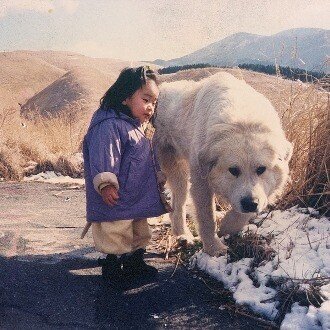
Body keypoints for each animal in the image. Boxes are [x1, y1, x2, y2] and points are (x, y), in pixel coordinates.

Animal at [155, 72, 292, 256]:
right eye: (233, 170)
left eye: (261, 169)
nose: (250, 203)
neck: (243, 121)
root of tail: (163, 89)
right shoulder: (201, 182)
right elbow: (207, 217)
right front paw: (214, 248)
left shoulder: (264, 191)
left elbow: (242, 214)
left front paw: (227, 226)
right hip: (177, 171)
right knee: (178, 205)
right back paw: (183, 235)